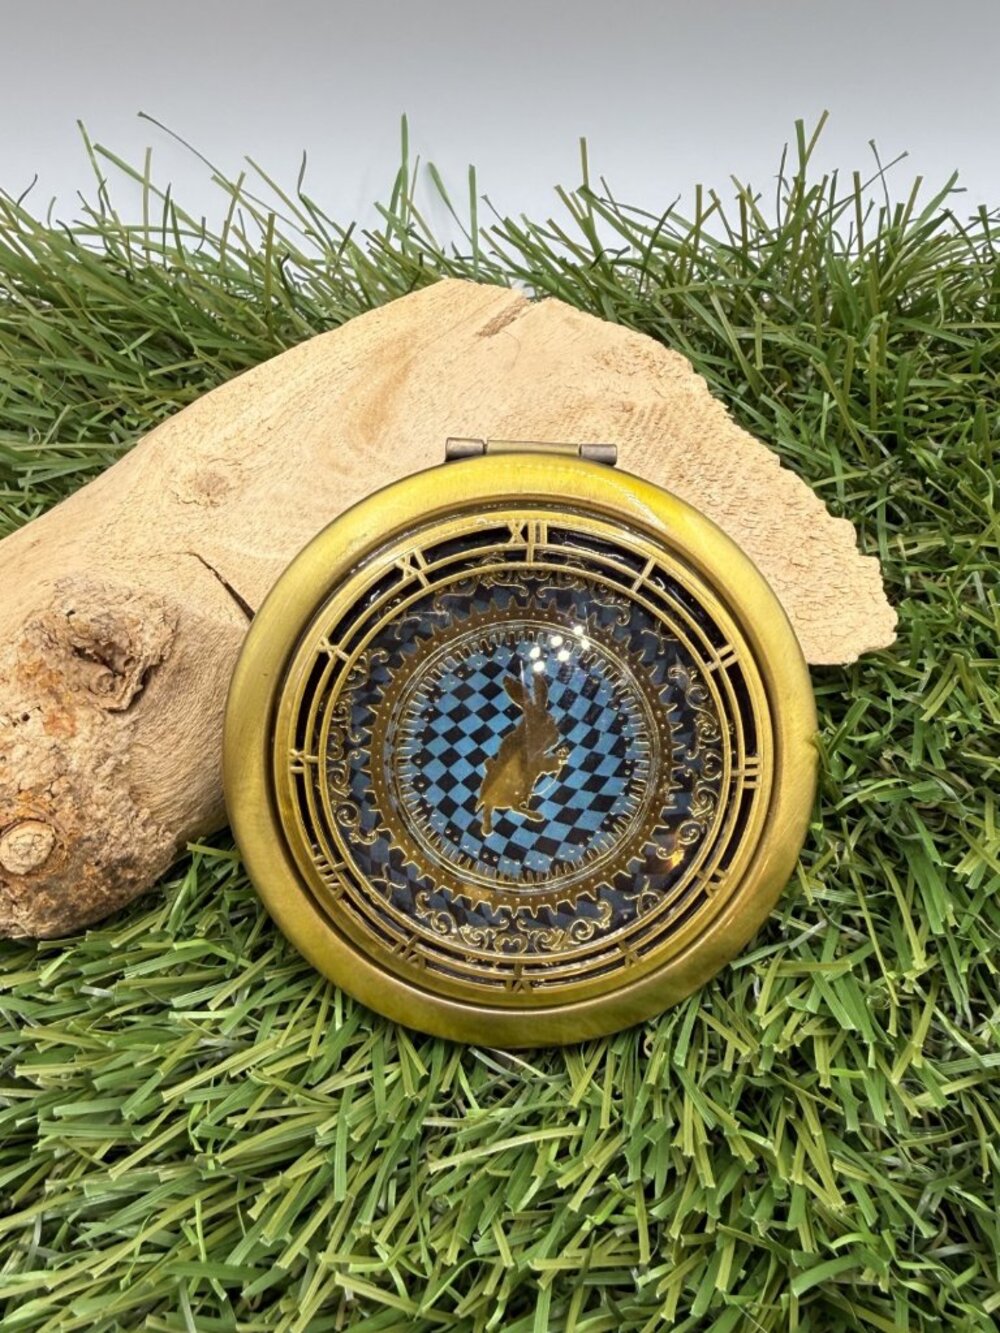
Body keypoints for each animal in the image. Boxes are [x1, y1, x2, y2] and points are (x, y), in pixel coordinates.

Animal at [477, 669, 569, 837]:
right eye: (550, 721)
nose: (557, 737)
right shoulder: (536, 761)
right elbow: (547, 764)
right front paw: (560, 759)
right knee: (510, 808)